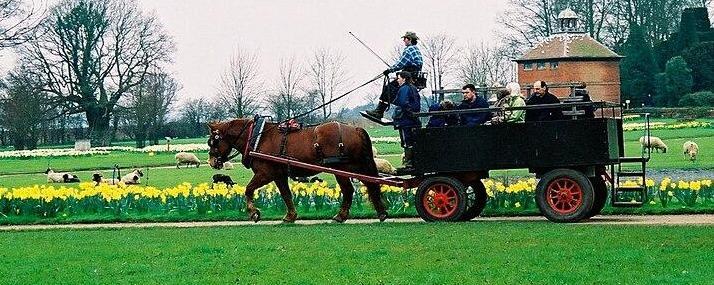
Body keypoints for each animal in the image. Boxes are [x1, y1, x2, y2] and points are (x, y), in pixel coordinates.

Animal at [206, 117, 384, 222]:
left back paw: (341, 216)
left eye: (213, 141)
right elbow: (286, 195)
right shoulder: (279, 175)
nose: (212, 162)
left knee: (349, 190)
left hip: (342, 169)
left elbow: (248, 190)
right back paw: (381, 212)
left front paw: (253, 212)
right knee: (371, 184)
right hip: (357, 166)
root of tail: (355, 129)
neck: (258, 137)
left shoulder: (265, 174)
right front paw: (290, 216)